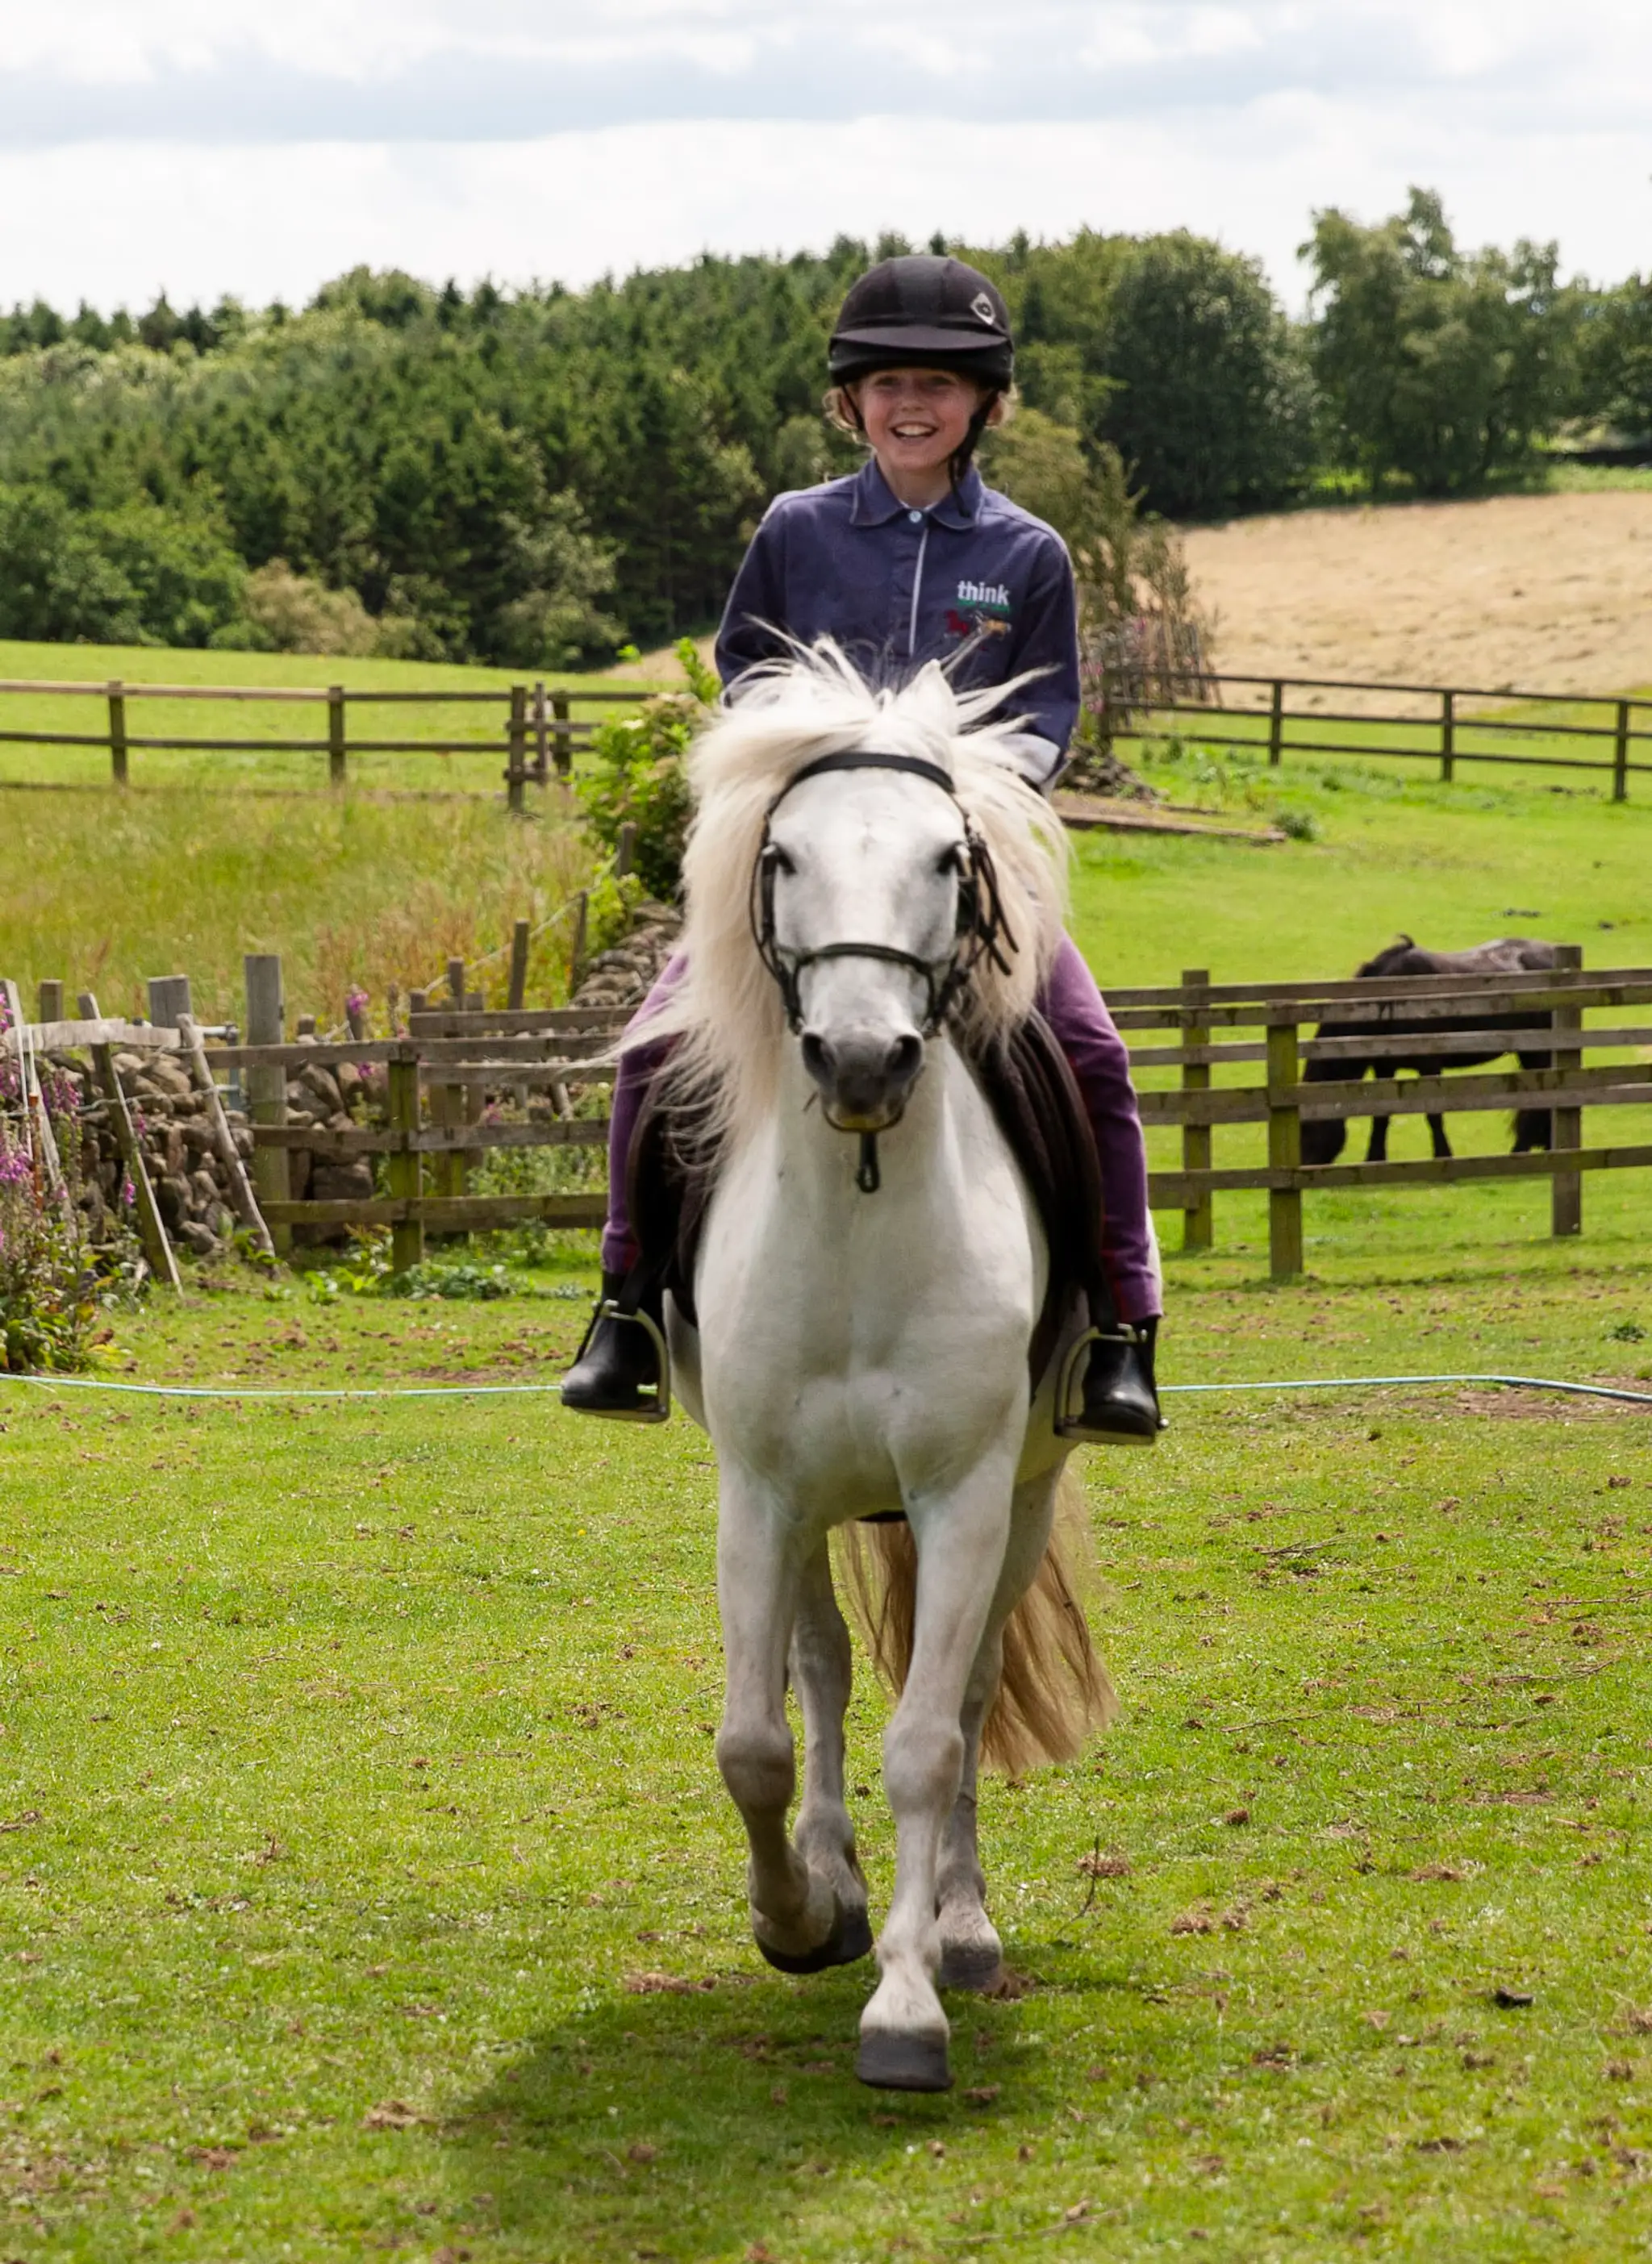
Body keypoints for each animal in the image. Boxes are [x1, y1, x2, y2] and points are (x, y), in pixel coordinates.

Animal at [633, 643, 1126, 2094]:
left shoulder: (961, 1495)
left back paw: (956, 1925)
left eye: (948, 858)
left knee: (961, 1693)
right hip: (806, 1509)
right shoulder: (757, 1489)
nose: (859, 1058)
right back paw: (837, 1884)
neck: (861, 1215)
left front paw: (908, 1997)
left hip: (1018, 1502)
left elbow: (930, 1737)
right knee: (824, 1669)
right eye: (783, 854)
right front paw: (798, 1916)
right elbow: (755, 1736)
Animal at [1299, 936, 1559, 1168]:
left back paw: (1520, 1153)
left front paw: (1443, 1157)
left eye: (1307, 1126)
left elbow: (1433, 1114)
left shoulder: (1429, 1066)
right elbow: (1381, 1115)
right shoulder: (1384, 1068)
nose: (1304, 1167)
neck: (1393, 1000)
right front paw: (1374, 1160)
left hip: (1540, 1053)